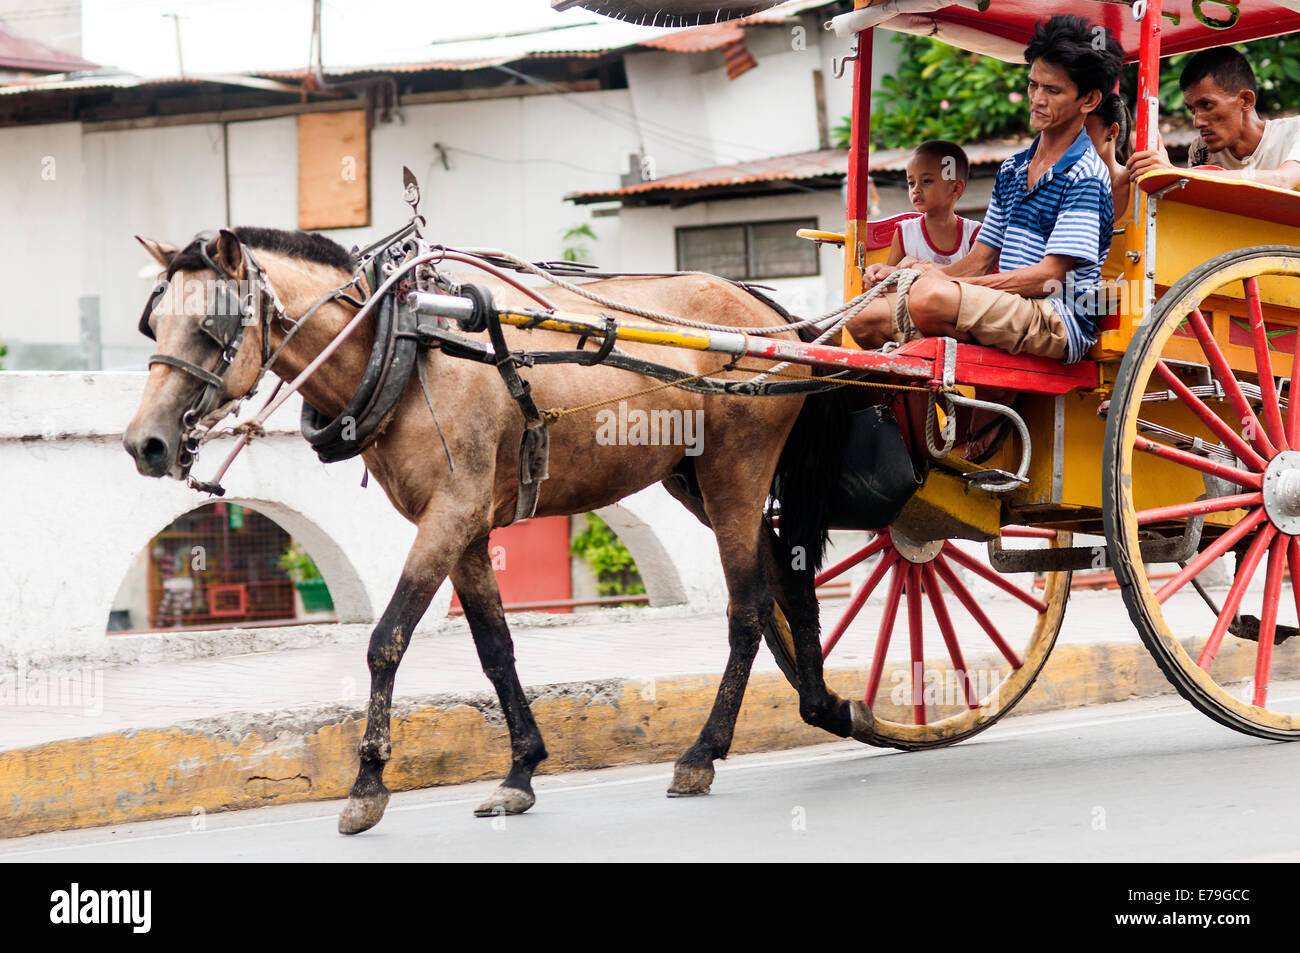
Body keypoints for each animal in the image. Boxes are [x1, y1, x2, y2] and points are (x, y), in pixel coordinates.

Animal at [124, 224, 873, 832]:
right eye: (154, 324)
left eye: (212, 325)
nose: (145, 443)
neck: (405, 340)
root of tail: (773, 317)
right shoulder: (466, 528)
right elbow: (495, 648)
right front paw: (520, 771)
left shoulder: (450, 514)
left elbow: (385, 640)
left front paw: (368, 784)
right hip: (692, 481)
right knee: (787, 581)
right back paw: (827, 704)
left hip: (735, 473)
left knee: (748, 607)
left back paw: (704, 751)